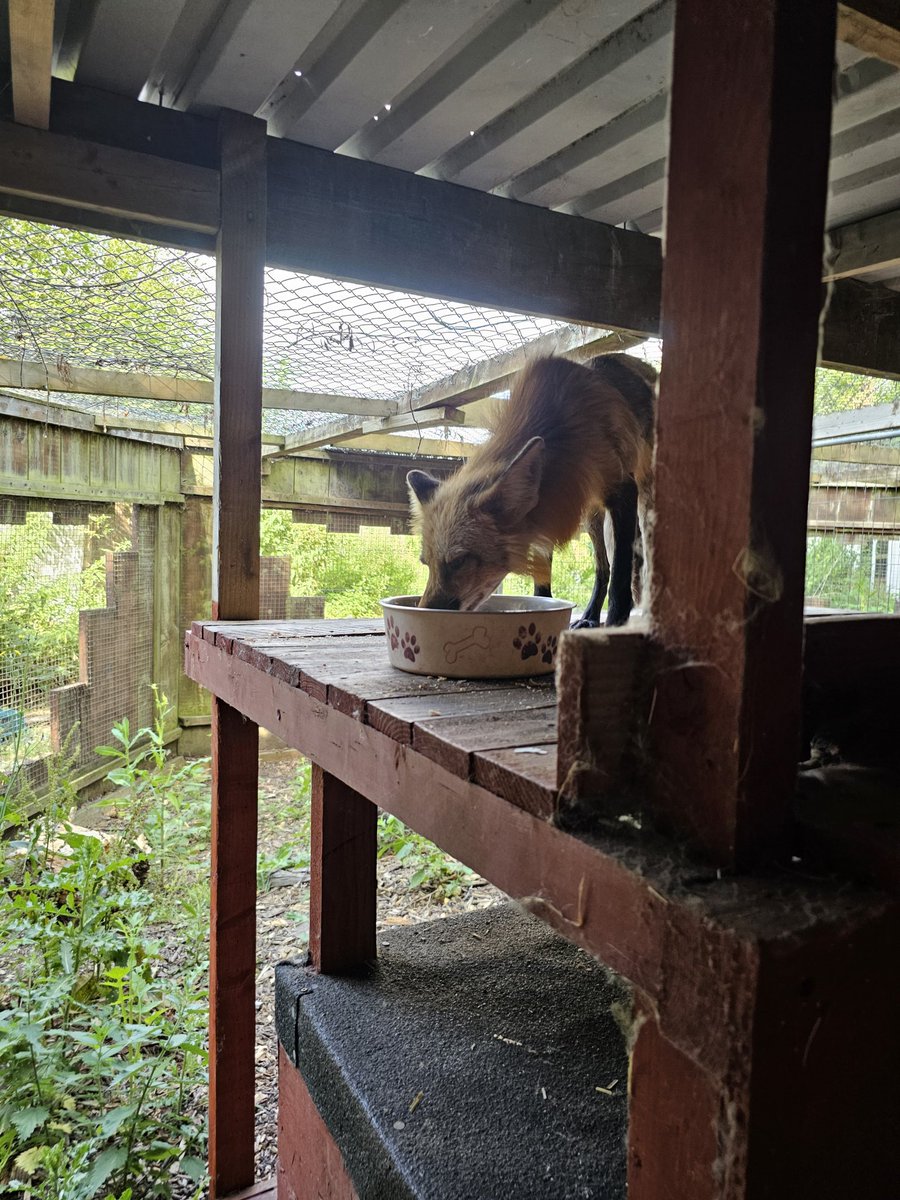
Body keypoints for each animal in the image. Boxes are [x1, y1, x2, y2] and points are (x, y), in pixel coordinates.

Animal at [406, 352, 656, 627]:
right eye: (426, 564)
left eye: (459, 561)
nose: (424, 614)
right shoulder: (545, 508)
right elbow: (543, 581)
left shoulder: (622, 489)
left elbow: (620, 580)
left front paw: (613, 625)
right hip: (592, 517)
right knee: (603, 569)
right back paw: (590, 616)